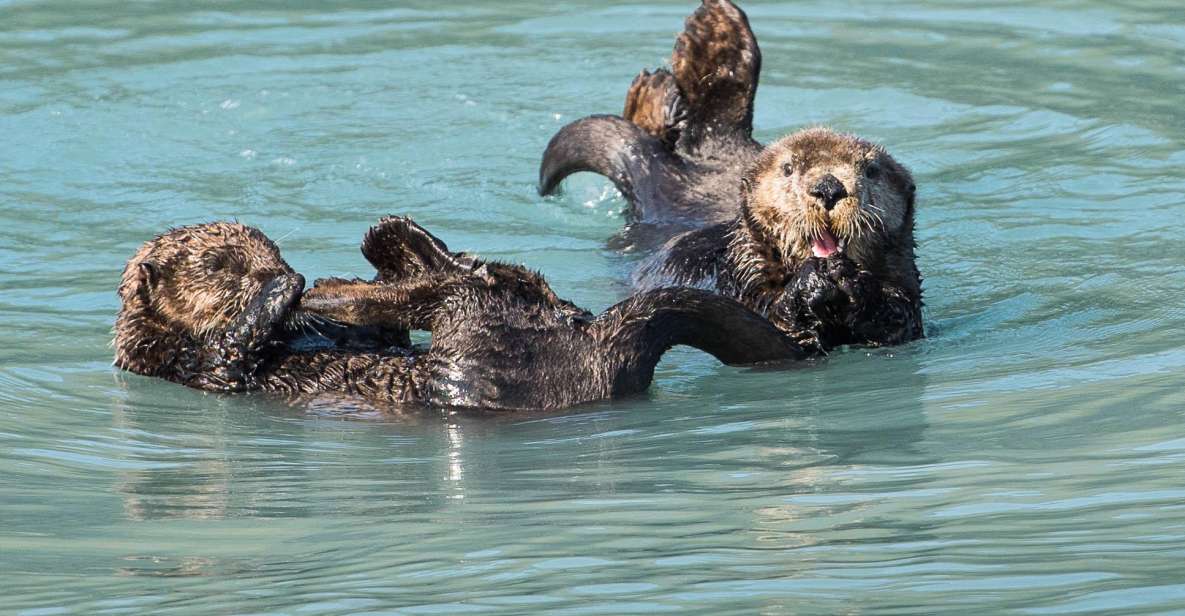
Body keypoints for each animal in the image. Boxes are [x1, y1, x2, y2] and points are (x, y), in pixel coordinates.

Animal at [113, 219, 805, 412]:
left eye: (270, 247)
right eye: (221, 266)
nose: (282, 267)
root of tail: (607, 351)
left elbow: (380, 333)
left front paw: (307, 289)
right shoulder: (188, 365)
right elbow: (230, 354)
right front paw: (288, 291)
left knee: (492, 283)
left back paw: (397, 250)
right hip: (478, 356)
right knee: (459, 294)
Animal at [540, 0, 924, 350]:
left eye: (871, 170)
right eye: (788, 168)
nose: (829, 187)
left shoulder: (907, 297)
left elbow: (898, 319)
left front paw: (858, 286)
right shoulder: (743, 285)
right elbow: (774, 317)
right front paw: (810, 283)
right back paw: (704, 38)